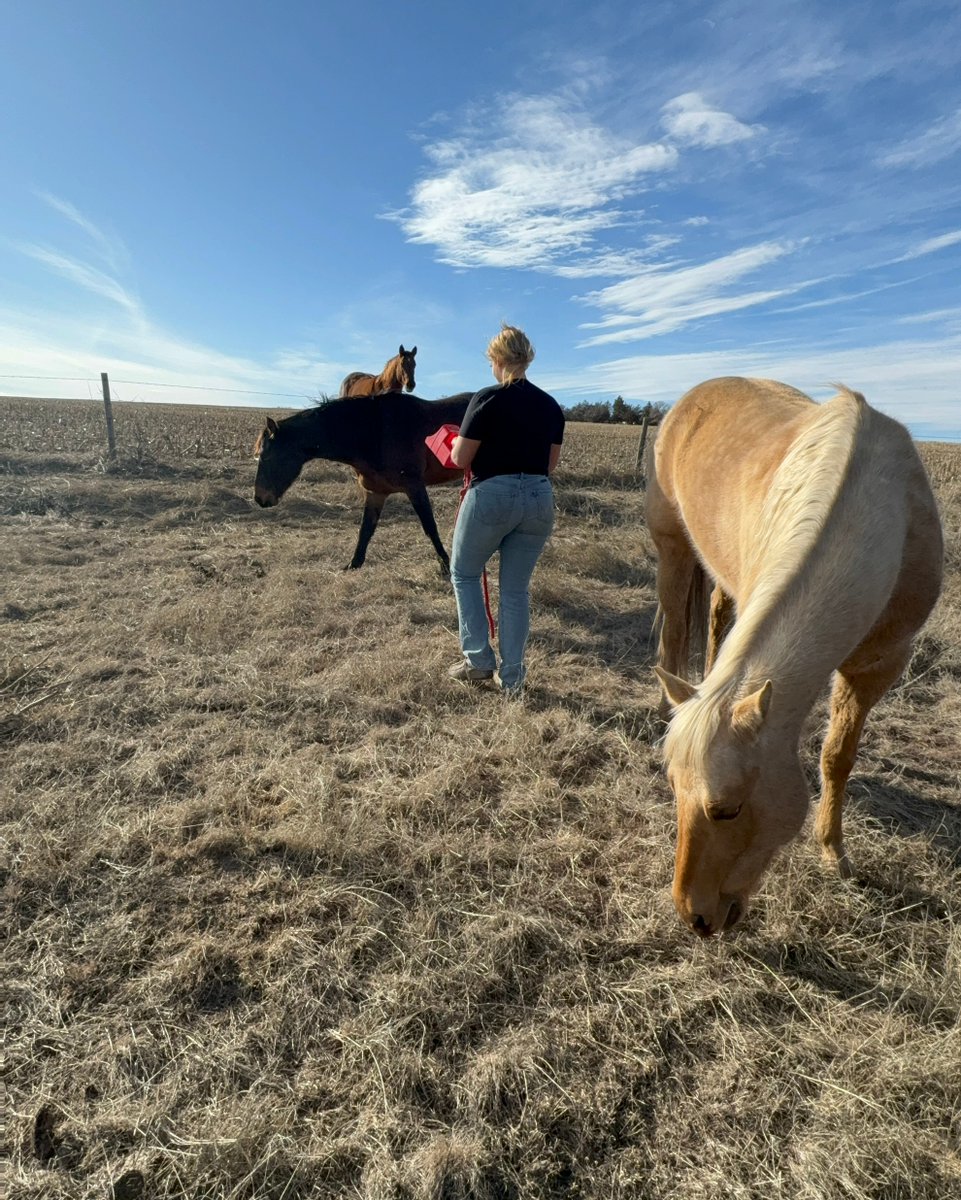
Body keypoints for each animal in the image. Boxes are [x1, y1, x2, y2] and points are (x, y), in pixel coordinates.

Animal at [253, 389, 471, 572]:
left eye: (266, 456)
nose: (260, 498)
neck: (375, 431)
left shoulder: (414, 486)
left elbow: (429, 526)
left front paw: (445, 565)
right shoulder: (375, 492)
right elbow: (366, 529)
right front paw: (354, 563)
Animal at [646, 377, 943, 937]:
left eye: (726, 810)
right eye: (671, 789)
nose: (694, 918)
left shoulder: (878, 666)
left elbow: (837, 756)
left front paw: (833, 853)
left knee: (715, 621)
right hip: (672, 543)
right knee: (674, 630)